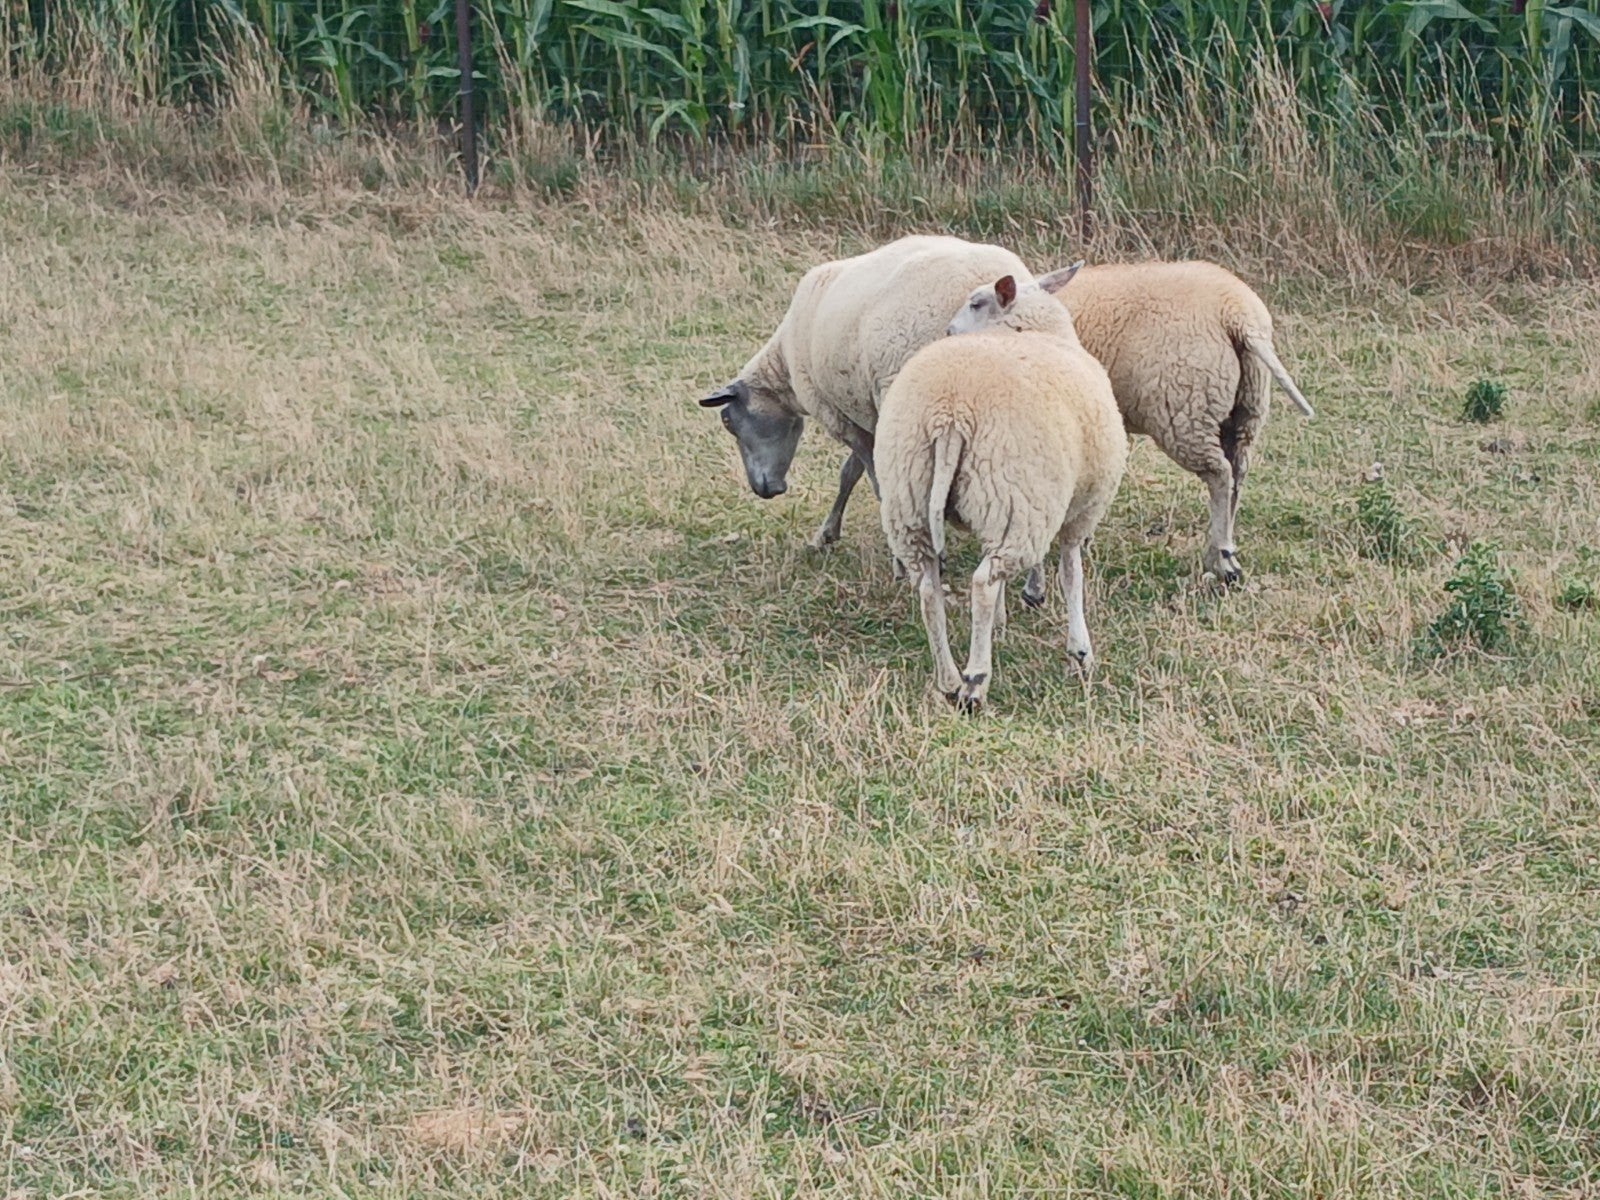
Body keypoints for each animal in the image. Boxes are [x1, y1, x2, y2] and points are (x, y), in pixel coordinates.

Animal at [698, 234, 1032, 550]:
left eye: (728, 421)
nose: (765, 490)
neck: (784, 370)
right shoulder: (864, 412)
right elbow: (851, 471)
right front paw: (827, 534)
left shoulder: (837, 415)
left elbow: (867, 477)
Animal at [878, 267, 1128, 710]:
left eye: (976, 302)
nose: (948, 330)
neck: (1037, 330)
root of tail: (950, 412)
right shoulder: (1081, 508)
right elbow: (1072, 574)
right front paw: (1080, 651)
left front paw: (1001, 622)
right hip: (1017, 500)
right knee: (983, 583)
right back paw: (975, 681)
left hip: (910, 498)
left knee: (928, 589)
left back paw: (947, 679)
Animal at [947, 259, 1313, 587]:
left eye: (976, 304)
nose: (949, 332)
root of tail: (1235, 311)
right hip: (1245, 407)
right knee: (1237, 473)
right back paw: (1221, 553)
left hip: (1183, 407)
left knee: (1219, 473)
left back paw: (1222, 558)